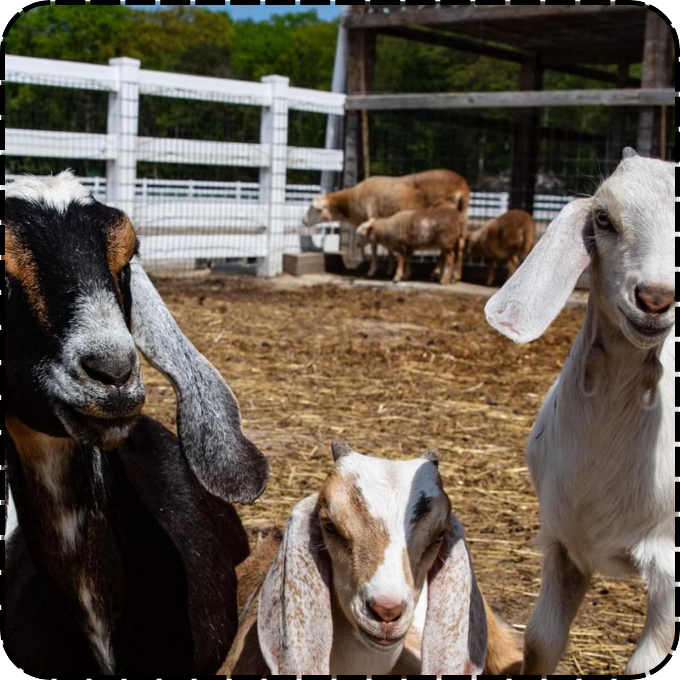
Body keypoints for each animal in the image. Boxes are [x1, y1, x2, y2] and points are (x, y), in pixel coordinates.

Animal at [304, 169, 472, 276]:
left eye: (313, 208)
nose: (303, 221)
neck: (351, 203)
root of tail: (463, 186)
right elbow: (389, 248)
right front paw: (390, 269)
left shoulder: (371, 219)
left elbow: (373, 248)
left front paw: (372, 271)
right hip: (460, 219)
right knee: (460, 245)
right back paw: (454, 275)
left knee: (446, 248)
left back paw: (439, 273)